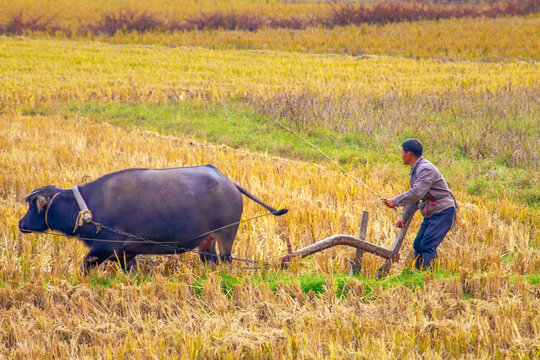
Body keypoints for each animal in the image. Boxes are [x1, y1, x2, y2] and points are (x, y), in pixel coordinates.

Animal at [17, 166, 286, 272]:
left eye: (32, 205)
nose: (20, 224)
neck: (87, 209)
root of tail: (227, 181)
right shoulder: (126, 254)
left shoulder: (103, 248)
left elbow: (84, 266)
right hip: (206, 241)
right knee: (210, 261)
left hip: (226, 235)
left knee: (226, 261)